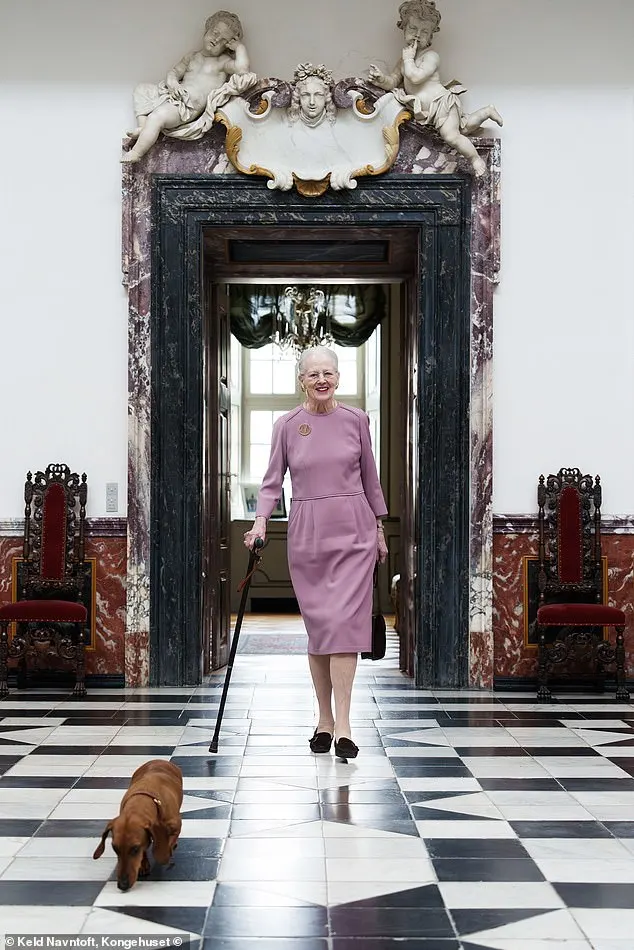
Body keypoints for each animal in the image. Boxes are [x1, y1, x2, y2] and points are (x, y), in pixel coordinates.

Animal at [92, 760, 184, 892]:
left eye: (135, 849)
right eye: (115, 848)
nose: (122, 885)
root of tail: (158, 760)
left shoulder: (176, 827)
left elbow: (168, 841)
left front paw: (166, 850)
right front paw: (143, 864)